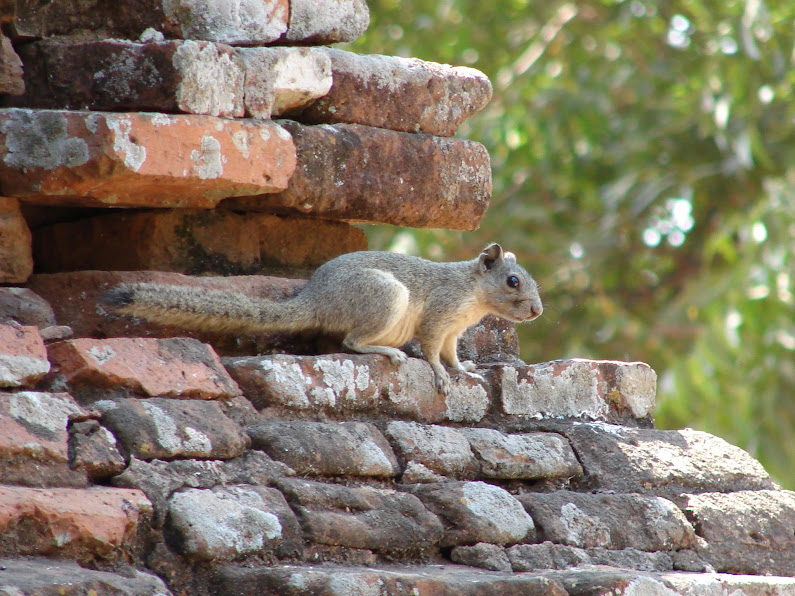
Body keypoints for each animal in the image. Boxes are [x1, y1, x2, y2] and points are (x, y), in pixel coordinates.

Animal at [104, 244, 540, 394]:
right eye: (513, 281)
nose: (537, 311)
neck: (472, 294)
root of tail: (318, 299)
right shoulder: (438, 316)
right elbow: (432, 351)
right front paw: (438, 375)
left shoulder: (453, 331)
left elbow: (451, 354)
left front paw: (464, 370)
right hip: (385, 297)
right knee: (351, 343)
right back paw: (388, 352)